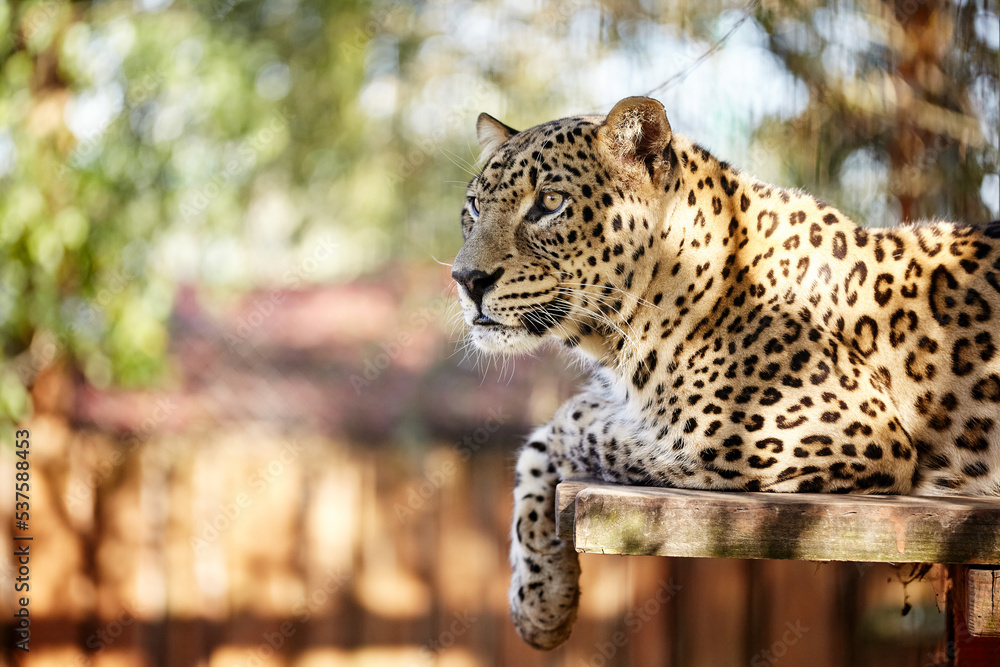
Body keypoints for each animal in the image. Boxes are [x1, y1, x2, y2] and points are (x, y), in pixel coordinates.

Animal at [451, 96, 1000, 650]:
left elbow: (593, 433)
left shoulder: (825, 434)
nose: (465, 279)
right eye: (473, 206)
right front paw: (539, 604)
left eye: (549, 202)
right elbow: (544, 442)